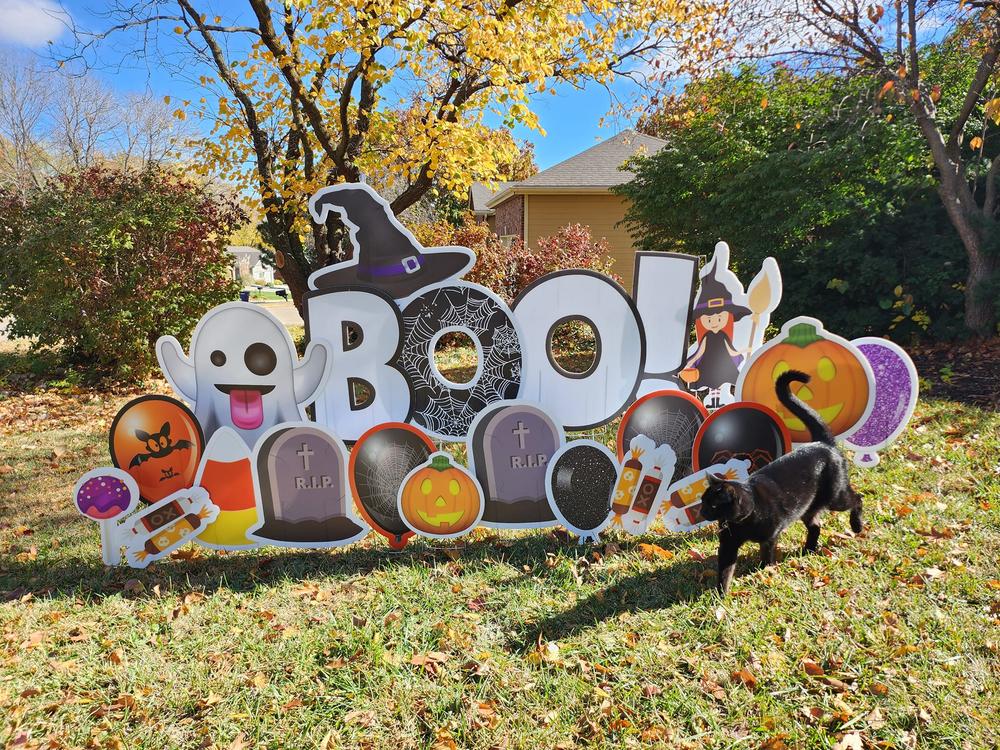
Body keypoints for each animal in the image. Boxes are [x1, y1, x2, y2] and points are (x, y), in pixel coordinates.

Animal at [700, 374, 864, 596]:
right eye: (702, 501)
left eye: (713, 505)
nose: (702, 511)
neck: (744, 518)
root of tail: (823, 444)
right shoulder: (728, 545)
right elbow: (725, 572)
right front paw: (720, 596)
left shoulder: (770, 538)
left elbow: (766, 558)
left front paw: (764, 573)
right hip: (808, 509)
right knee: (816, 526)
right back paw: (808, 550)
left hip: (835, 497)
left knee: (857, 498)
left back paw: (857, 526)